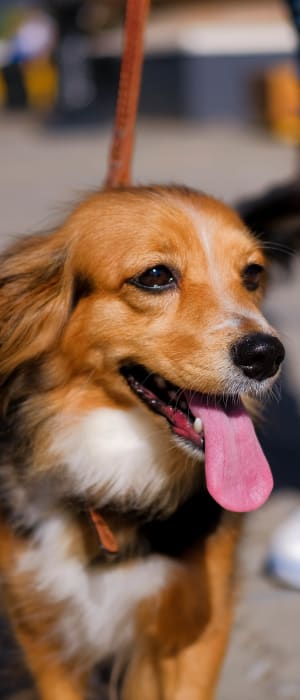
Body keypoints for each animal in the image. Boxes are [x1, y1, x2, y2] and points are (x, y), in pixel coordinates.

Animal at [0, 187, 284, 700]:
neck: (115, 470)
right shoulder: (44, 631)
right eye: (155, 277)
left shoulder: (197, 627)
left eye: (252, 275)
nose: (267, 355)